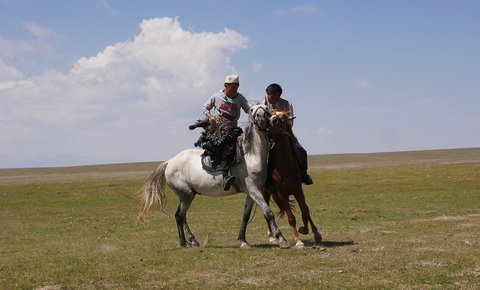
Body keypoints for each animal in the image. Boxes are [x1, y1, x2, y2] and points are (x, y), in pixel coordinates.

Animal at [139, 103, 288, 248]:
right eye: (252, 110)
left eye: (266, 108)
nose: (261, 117)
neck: (251, 156)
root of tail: (169, 162)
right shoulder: (253, 190)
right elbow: (269, 212)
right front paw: (282, 240)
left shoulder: (251, 192)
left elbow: (246, 216)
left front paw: (243, 241)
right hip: (186, 195)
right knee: (179, 216)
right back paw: (183, 243)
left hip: (187, 196)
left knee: (182, 216)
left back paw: (192, 241)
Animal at [262, 110, 322, 248]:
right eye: (270, 114)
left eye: (283, 117)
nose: (272, 121)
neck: (284, 165)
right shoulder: (282, 194)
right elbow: (291, 218)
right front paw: (298, 241)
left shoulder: (298, 190)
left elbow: (305, 211)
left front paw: (309, 231)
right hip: (264, 192)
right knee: (266, 214)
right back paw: (272, 237)